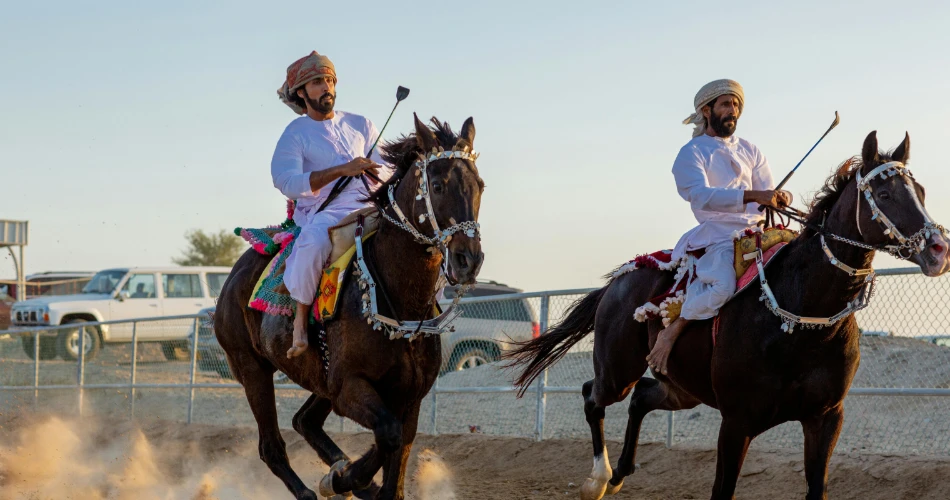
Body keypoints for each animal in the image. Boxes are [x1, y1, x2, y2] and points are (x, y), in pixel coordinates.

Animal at [214, 114, 485, 500]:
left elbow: (398, 452)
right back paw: (317, 487)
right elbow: (388, 435)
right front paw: (345, 478)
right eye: (437, 184)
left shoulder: (409, 396)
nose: (468, 259)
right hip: (252, 369)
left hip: (318, 379)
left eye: (480, 185)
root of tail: (233, 277)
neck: (399, 304)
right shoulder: (349, 387)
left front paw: (355, 479)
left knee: (305, 421)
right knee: (272, 447)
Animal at [508, 131, 949, 500]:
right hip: (617, 370)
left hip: (681, 388)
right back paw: (598, 480)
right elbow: (722, 491)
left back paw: (618, 474)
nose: (938, 249)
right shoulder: (736, 422)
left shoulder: (826, 418)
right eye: (885, 193)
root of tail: (622, 276)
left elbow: (816, 488)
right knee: (593, 396)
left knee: (642, 397)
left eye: (921, 191)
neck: (802, 321)